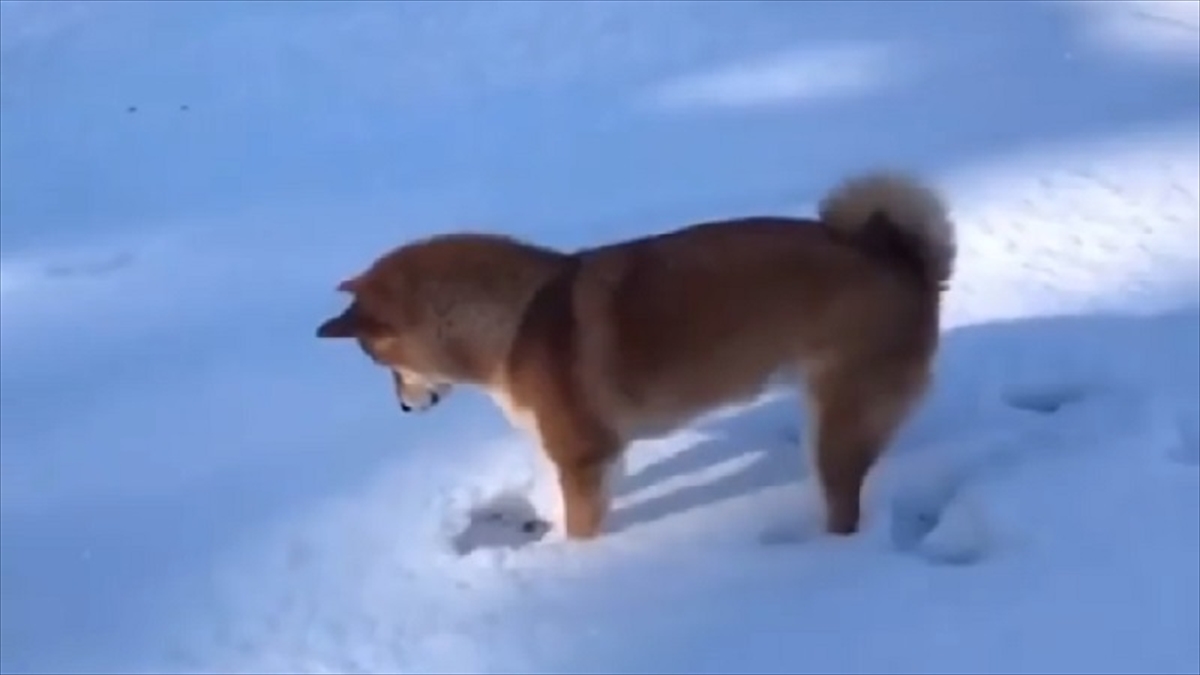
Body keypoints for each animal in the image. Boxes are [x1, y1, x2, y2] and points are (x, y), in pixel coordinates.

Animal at [316, 171, 955, 540]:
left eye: (379, 363)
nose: (404, 409)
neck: (513, 319)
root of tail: (903, 259)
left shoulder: (582, 457)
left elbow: (582, 530)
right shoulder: (605, 454)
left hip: (840, 423)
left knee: (843, 508)